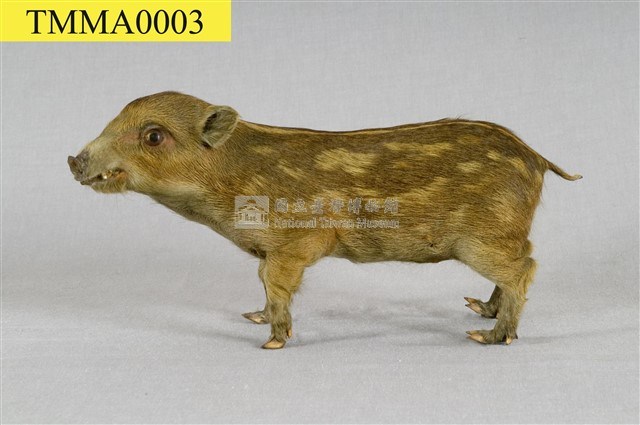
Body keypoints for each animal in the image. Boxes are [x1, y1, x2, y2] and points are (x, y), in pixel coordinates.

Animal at [68, 91, 581, 349]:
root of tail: (538, 158)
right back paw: (478, 308)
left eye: (153, 136)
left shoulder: (295, 244)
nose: (74, 160)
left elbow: (276, 285)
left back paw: (487, 336)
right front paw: (252, 317)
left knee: (524, 269)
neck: (231, 179)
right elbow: (261, 283)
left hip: (484, 238)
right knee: (519, 267)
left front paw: (272, 342)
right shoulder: (266, 248)